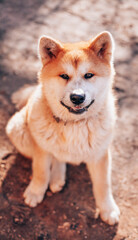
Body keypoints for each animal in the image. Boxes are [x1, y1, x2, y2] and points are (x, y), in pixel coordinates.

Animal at [5, 31, 119, 224]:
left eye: (89, 75)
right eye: (64, 76)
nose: (77, 97)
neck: (74, 124)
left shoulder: (100, 154)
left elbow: (103, 185)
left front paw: (108, 210)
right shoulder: (41, 149)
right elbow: (41, 171)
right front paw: (35, 192)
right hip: (18, 129)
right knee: (56, 157)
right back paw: (56, 177)